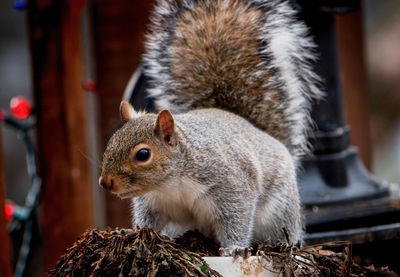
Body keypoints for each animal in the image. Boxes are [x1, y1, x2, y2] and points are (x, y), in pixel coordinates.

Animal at [99, 0, 322, 254]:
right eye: (111, 142)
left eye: (143, 154)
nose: (106, 182)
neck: (171, 184)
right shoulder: (154, 202)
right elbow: (148, 222)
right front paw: (128, 232)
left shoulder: (232, 186)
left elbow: (236, 219)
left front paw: (234, 249)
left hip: (279, 211)